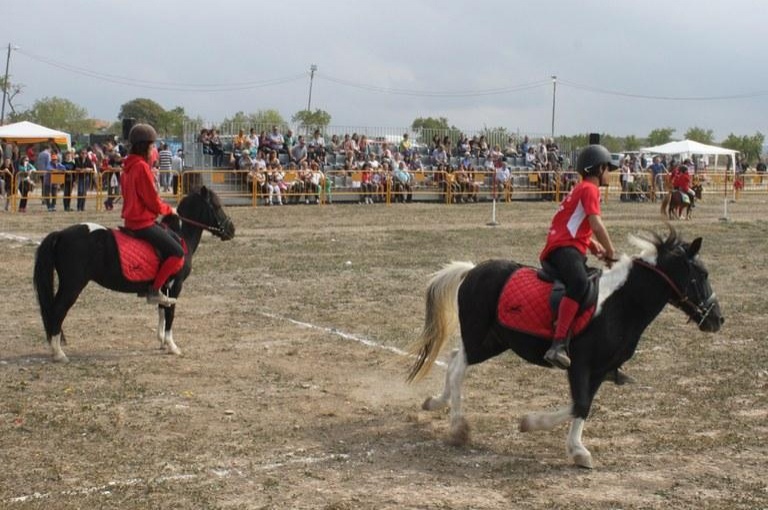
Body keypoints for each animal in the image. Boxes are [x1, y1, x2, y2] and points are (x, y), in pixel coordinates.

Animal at [33, 185, 236, 360]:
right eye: (217, 205)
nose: (231, 230)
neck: (180, 236)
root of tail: (61, 234)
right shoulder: (175, 286)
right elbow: (170, 313)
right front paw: (172, 346)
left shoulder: (163, 286)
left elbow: (161, 310)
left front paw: (162, 342)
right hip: (72, 286)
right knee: (57, 310)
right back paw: (58, 353)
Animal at [408, 231, 728, 470]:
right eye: (702, 273)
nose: (717, 319)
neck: (620, 304)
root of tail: (473, 270)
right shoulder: (579, 366)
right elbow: (580, 403)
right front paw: (533, 424)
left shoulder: (599, 370)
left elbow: (583, 406)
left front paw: (575, 449)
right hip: (479, 337)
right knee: (457, 368)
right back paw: (457, 427)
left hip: (493, 341)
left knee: (453, 359)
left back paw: (435, 402)